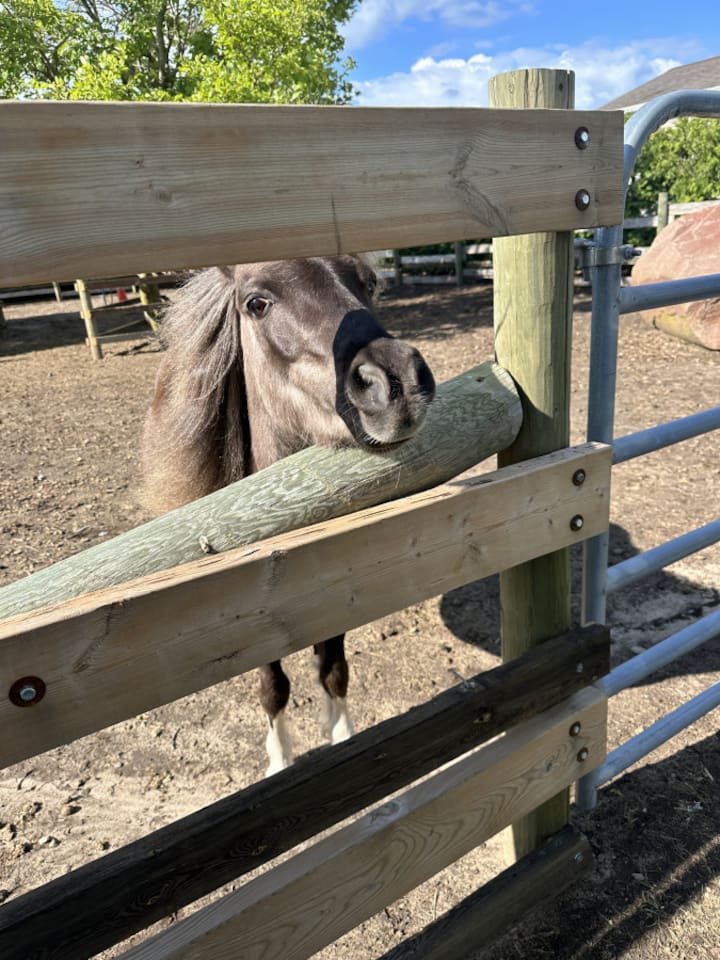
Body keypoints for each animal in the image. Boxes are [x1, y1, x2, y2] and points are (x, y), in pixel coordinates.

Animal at [142, 255, 435, 775]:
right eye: (256, 303)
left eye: (370, 281)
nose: (398, 382)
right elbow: (273, 688)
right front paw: (280, 762)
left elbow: (334, 670)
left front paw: (343, 738)